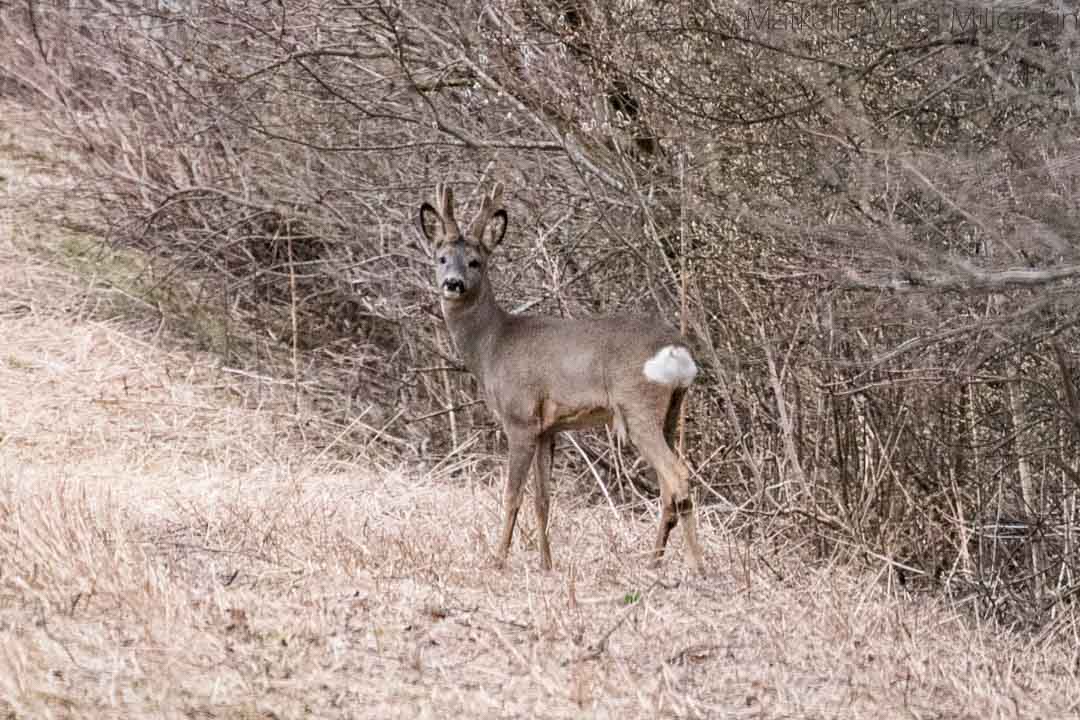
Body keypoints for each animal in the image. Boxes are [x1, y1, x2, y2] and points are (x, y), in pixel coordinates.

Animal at [416, 183, 704, 578]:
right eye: (441, 258)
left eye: (476, 262)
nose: (453, 284)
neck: (492, 345)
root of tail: (678, 350)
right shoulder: (548, 428)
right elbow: (543, 498)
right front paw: (546, 563)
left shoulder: (520, 418)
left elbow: (512, 495)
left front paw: (498, 559)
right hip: (671, 409)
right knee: (666, 487)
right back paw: (654, 561)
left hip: (637, 406)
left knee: (678, 476)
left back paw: (696, 565)